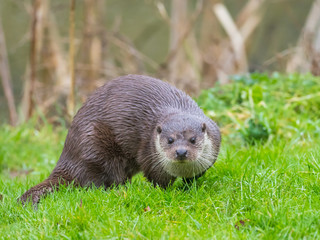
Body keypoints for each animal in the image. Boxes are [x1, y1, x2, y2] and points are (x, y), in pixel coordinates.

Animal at [18, 74, 221, 204]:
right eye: (170, 140)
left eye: (192, 139)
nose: (181, 152)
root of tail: (67, 155)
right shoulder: (149, 155)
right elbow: (158, 180)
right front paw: (166, 192)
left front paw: (191, 187)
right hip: (94, 147)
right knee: (96, 181)